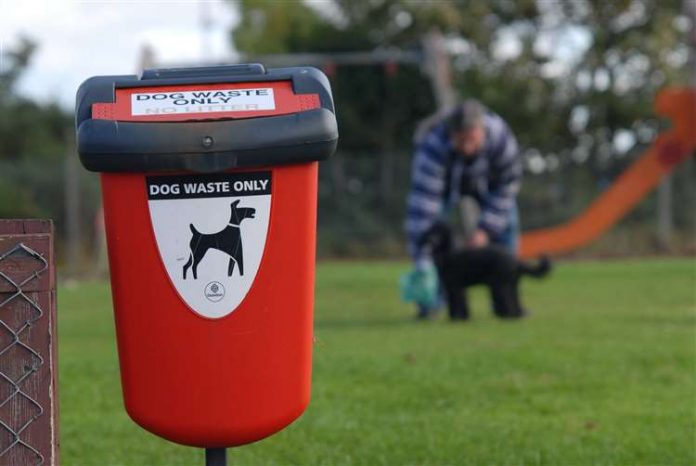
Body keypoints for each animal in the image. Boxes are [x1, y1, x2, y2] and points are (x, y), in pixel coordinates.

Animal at [416, 222, 552, 320]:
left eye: (440, 233)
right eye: (431, 231)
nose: (432, 240)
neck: (448, 253)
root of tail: (515, 260)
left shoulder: (455, 286)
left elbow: (457, 302)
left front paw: (457, 318)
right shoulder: (456, 287)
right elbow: (459, 302)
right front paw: (461, 318)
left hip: (499, 285)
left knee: (508, 301)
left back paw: (509, 317)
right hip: (511, 285)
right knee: (515, 300)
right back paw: (517, 315)